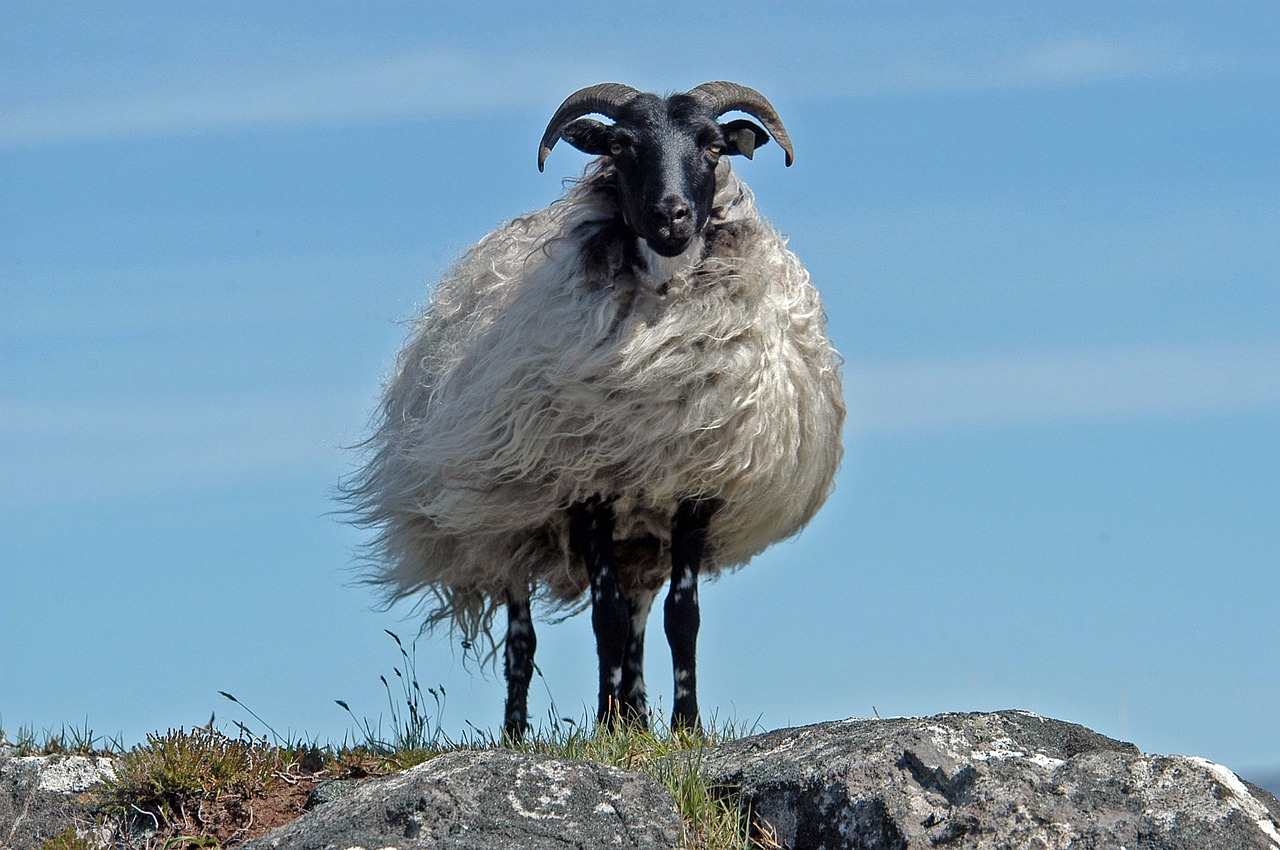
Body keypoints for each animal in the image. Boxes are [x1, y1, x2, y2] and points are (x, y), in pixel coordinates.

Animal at [350, 83, 844, 742]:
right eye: (620, 146)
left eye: (714, 145)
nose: (670, 215)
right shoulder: (584, 486)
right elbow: (602, 617)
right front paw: (610, 729)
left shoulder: (695, 488)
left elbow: (680, 615)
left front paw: (682, 728)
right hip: (506, 519)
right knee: (524, 639)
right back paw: (520, 733)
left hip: (638, 538)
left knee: (635, 621)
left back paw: (635, 713)